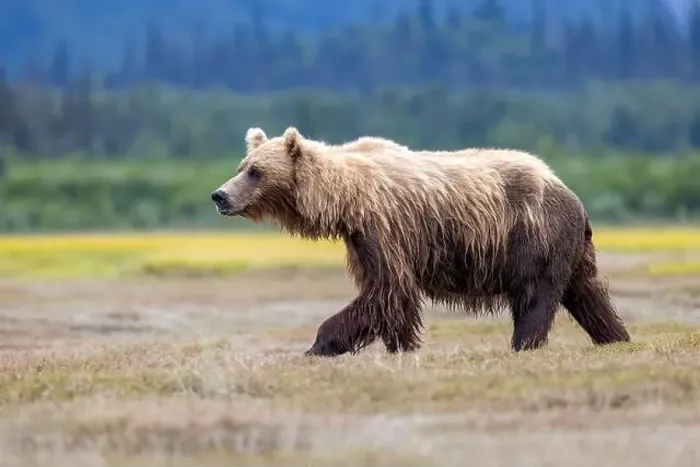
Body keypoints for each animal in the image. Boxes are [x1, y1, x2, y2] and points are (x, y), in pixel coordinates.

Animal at [211, 127, 631, 357]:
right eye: (241, 167)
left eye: (256, 171)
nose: (220, 195)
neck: (347, 199)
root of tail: (570, 192)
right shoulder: (361, 238)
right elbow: (389, 294)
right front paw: (402, 344)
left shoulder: (386, 227)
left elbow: (389, 288)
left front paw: (318, 344)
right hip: (570, 247)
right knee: (586, 291)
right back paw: (616, 337)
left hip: (533, 237)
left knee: (535, 295)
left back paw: (524, 343)